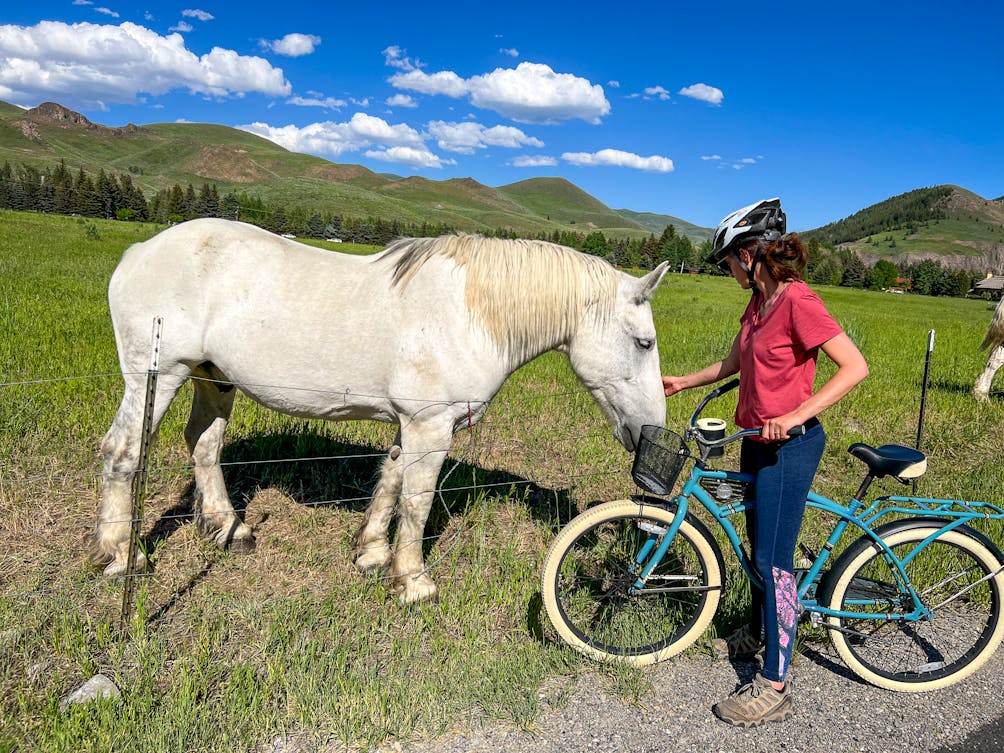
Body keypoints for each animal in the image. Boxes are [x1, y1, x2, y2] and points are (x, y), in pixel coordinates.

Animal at [94, 217, 670, 602]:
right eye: (643, 343)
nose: (650, 431)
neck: (468, 312)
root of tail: (137, 251)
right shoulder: (431, 427)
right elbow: (416, 502)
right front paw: (413, 580)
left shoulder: (409, 425)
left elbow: (390, 484)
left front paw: (371, 554)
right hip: (157, 378)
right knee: (122, 453)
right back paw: (124, 557)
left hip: (213, 378)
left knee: (204, 445)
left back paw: (229, 529)